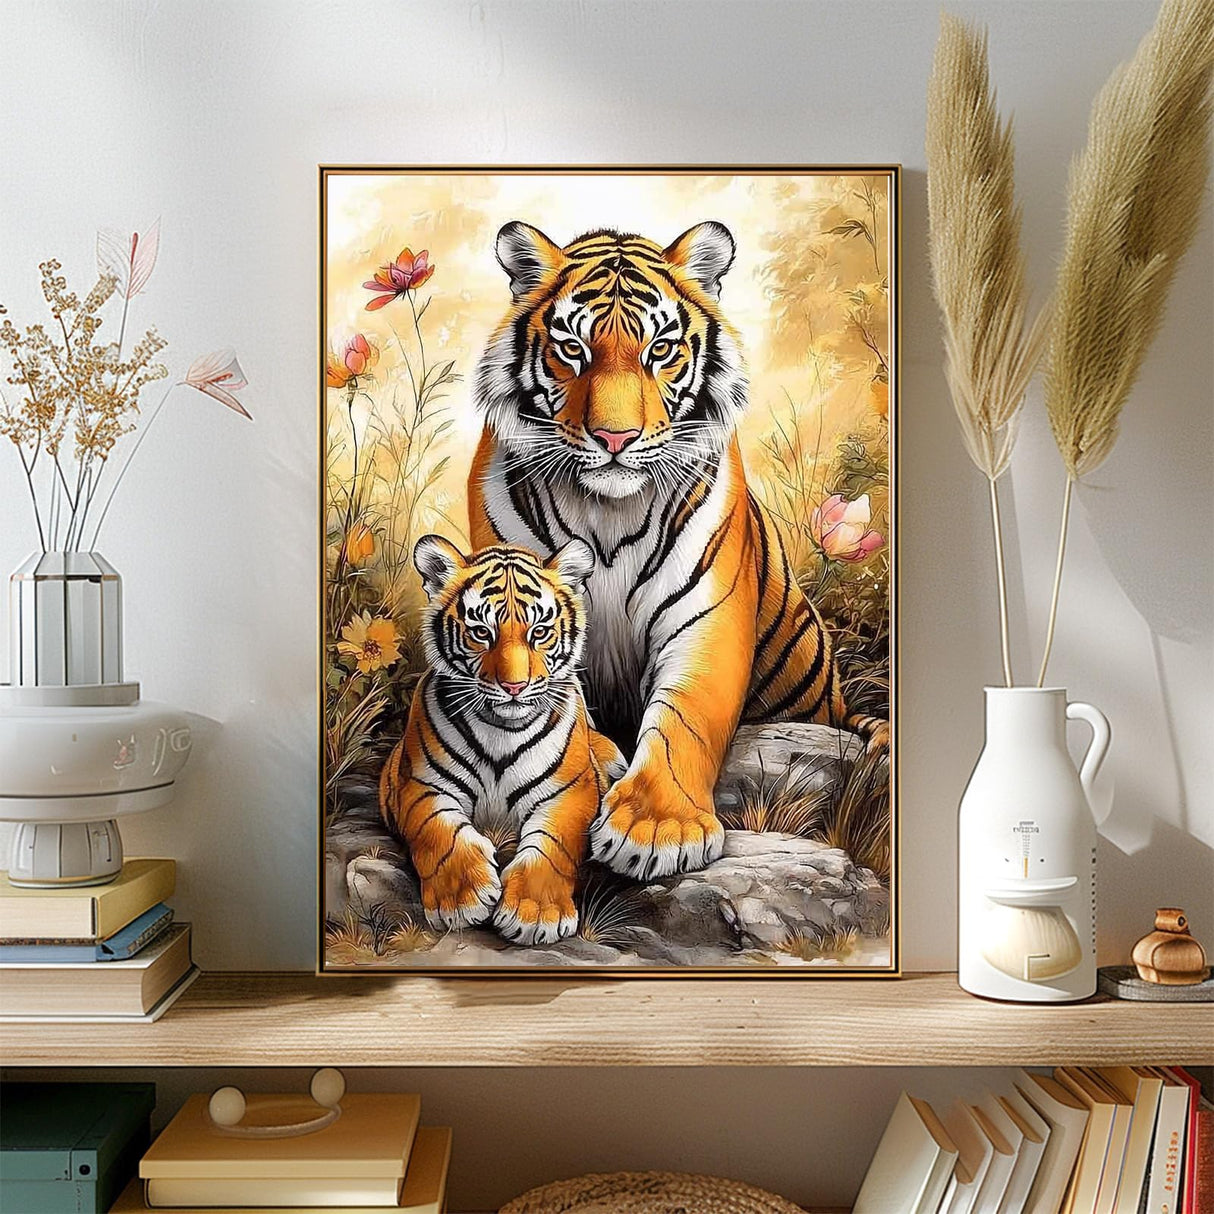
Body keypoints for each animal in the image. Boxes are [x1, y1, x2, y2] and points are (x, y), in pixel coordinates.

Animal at [379, 534, 626, 946]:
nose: (514, 686)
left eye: (539, 632)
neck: (502, 732)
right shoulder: (422, 785)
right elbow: (441, 832)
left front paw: (535, 914)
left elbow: (552, 844)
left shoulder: (571, 792)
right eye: (482, 632)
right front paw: (461, 901)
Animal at [468, 219, 888, 883]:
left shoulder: (706, 618)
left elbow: (685, 717)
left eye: (660, 349)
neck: (607, 511)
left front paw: (657, 828)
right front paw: (597, 757)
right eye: (572, 349)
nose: (614, 438)